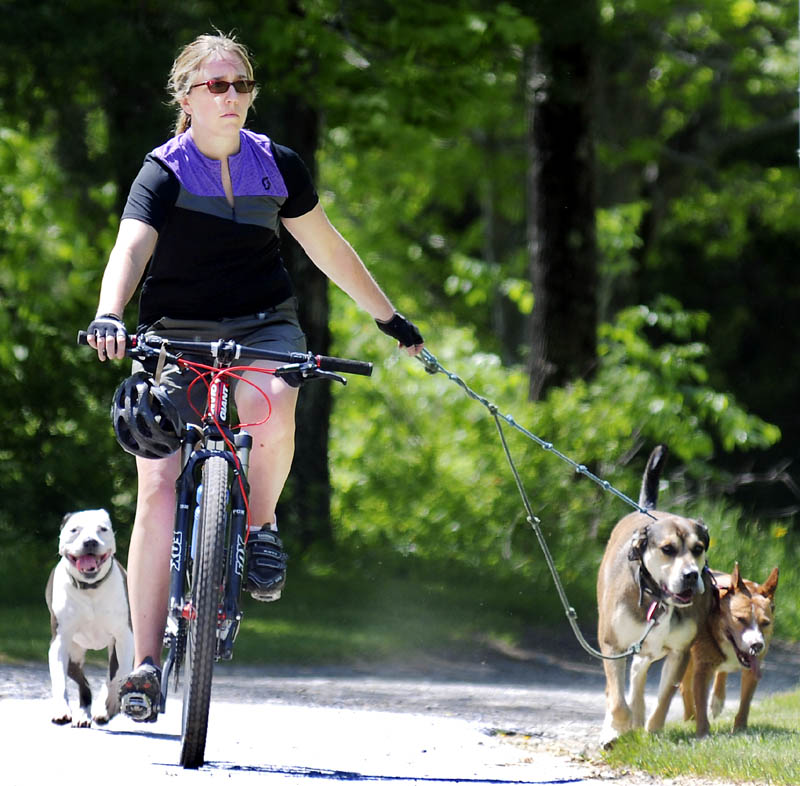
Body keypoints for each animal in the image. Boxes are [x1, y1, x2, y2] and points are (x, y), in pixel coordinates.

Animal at [46, 508, 134, 724]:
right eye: (74, 530)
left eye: (102, 529)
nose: (90, 541)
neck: (90, 588)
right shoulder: (60, 641)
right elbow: (59, 679)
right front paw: (61, 709)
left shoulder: (123, 637)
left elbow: (119, 675)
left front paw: (110, 704)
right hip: (74, 654)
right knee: (82, 683)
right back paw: (83, 714)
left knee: (109, 676)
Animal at [596, 448, 708, 748]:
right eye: (668, 549)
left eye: (698, 548)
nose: (691, 575)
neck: (659, 599)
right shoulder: (611, 645)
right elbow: (617, 700)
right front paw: (616, 730)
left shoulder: (680, 651)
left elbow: (664, 698)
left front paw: (651, 731)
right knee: (617, 689)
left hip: (650, 648)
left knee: (638, 671)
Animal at [680, 556, 780, 736]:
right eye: (740, 619)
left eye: (765, 623)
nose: (757, 645)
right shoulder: (703, 666)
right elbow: (700, 699)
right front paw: (702, 732)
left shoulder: (753, 667)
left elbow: (746, 701)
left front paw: (740, 729)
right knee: (686, 686)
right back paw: (690, 717)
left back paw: (717, 701)